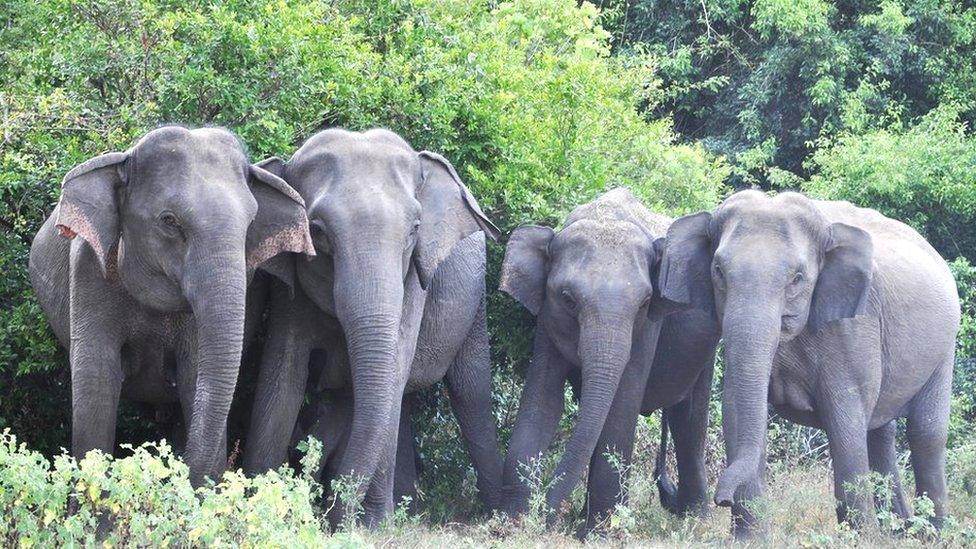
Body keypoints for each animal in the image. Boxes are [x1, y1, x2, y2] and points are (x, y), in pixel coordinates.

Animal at [29, 124, 312, 484]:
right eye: (169, 221)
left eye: (251, 224)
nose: (173, 471)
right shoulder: (88, 272)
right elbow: (96, 382)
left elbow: (195, 376)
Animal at [243, 126, 504, 524]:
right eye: (317, 231)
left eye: (414, 230)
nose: (332, 515)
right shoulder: (290, 290)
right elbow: (283, 375)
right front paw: (262, 505)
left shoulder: (414, 280)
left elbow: (394, 371)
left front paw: (372, 525)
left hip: (474, 300)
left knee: (469, 388)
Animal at [500, 189, 720, 536]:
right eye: (568, 299)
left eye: (645, 302)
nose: (548, 517)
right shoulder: (547, 319)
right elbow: (542, 397)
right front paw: (512, 523)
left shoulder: (648, 326)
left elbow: (621, 403)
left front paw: (597, 534)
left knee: (689, 418)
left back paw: (695, 521)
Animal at [660, 191, 956, 536]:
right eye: (718, 270)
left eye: (797, 279)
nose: (722, 499)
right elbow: (736, 408)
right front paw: (750, 539)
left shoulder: (854, 325)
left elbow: (845, 420)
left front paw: (861, 538)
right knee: (881, 430)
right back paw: (896, 528)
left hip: (945, 345)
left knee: (925, 432)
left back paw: (931, 532)